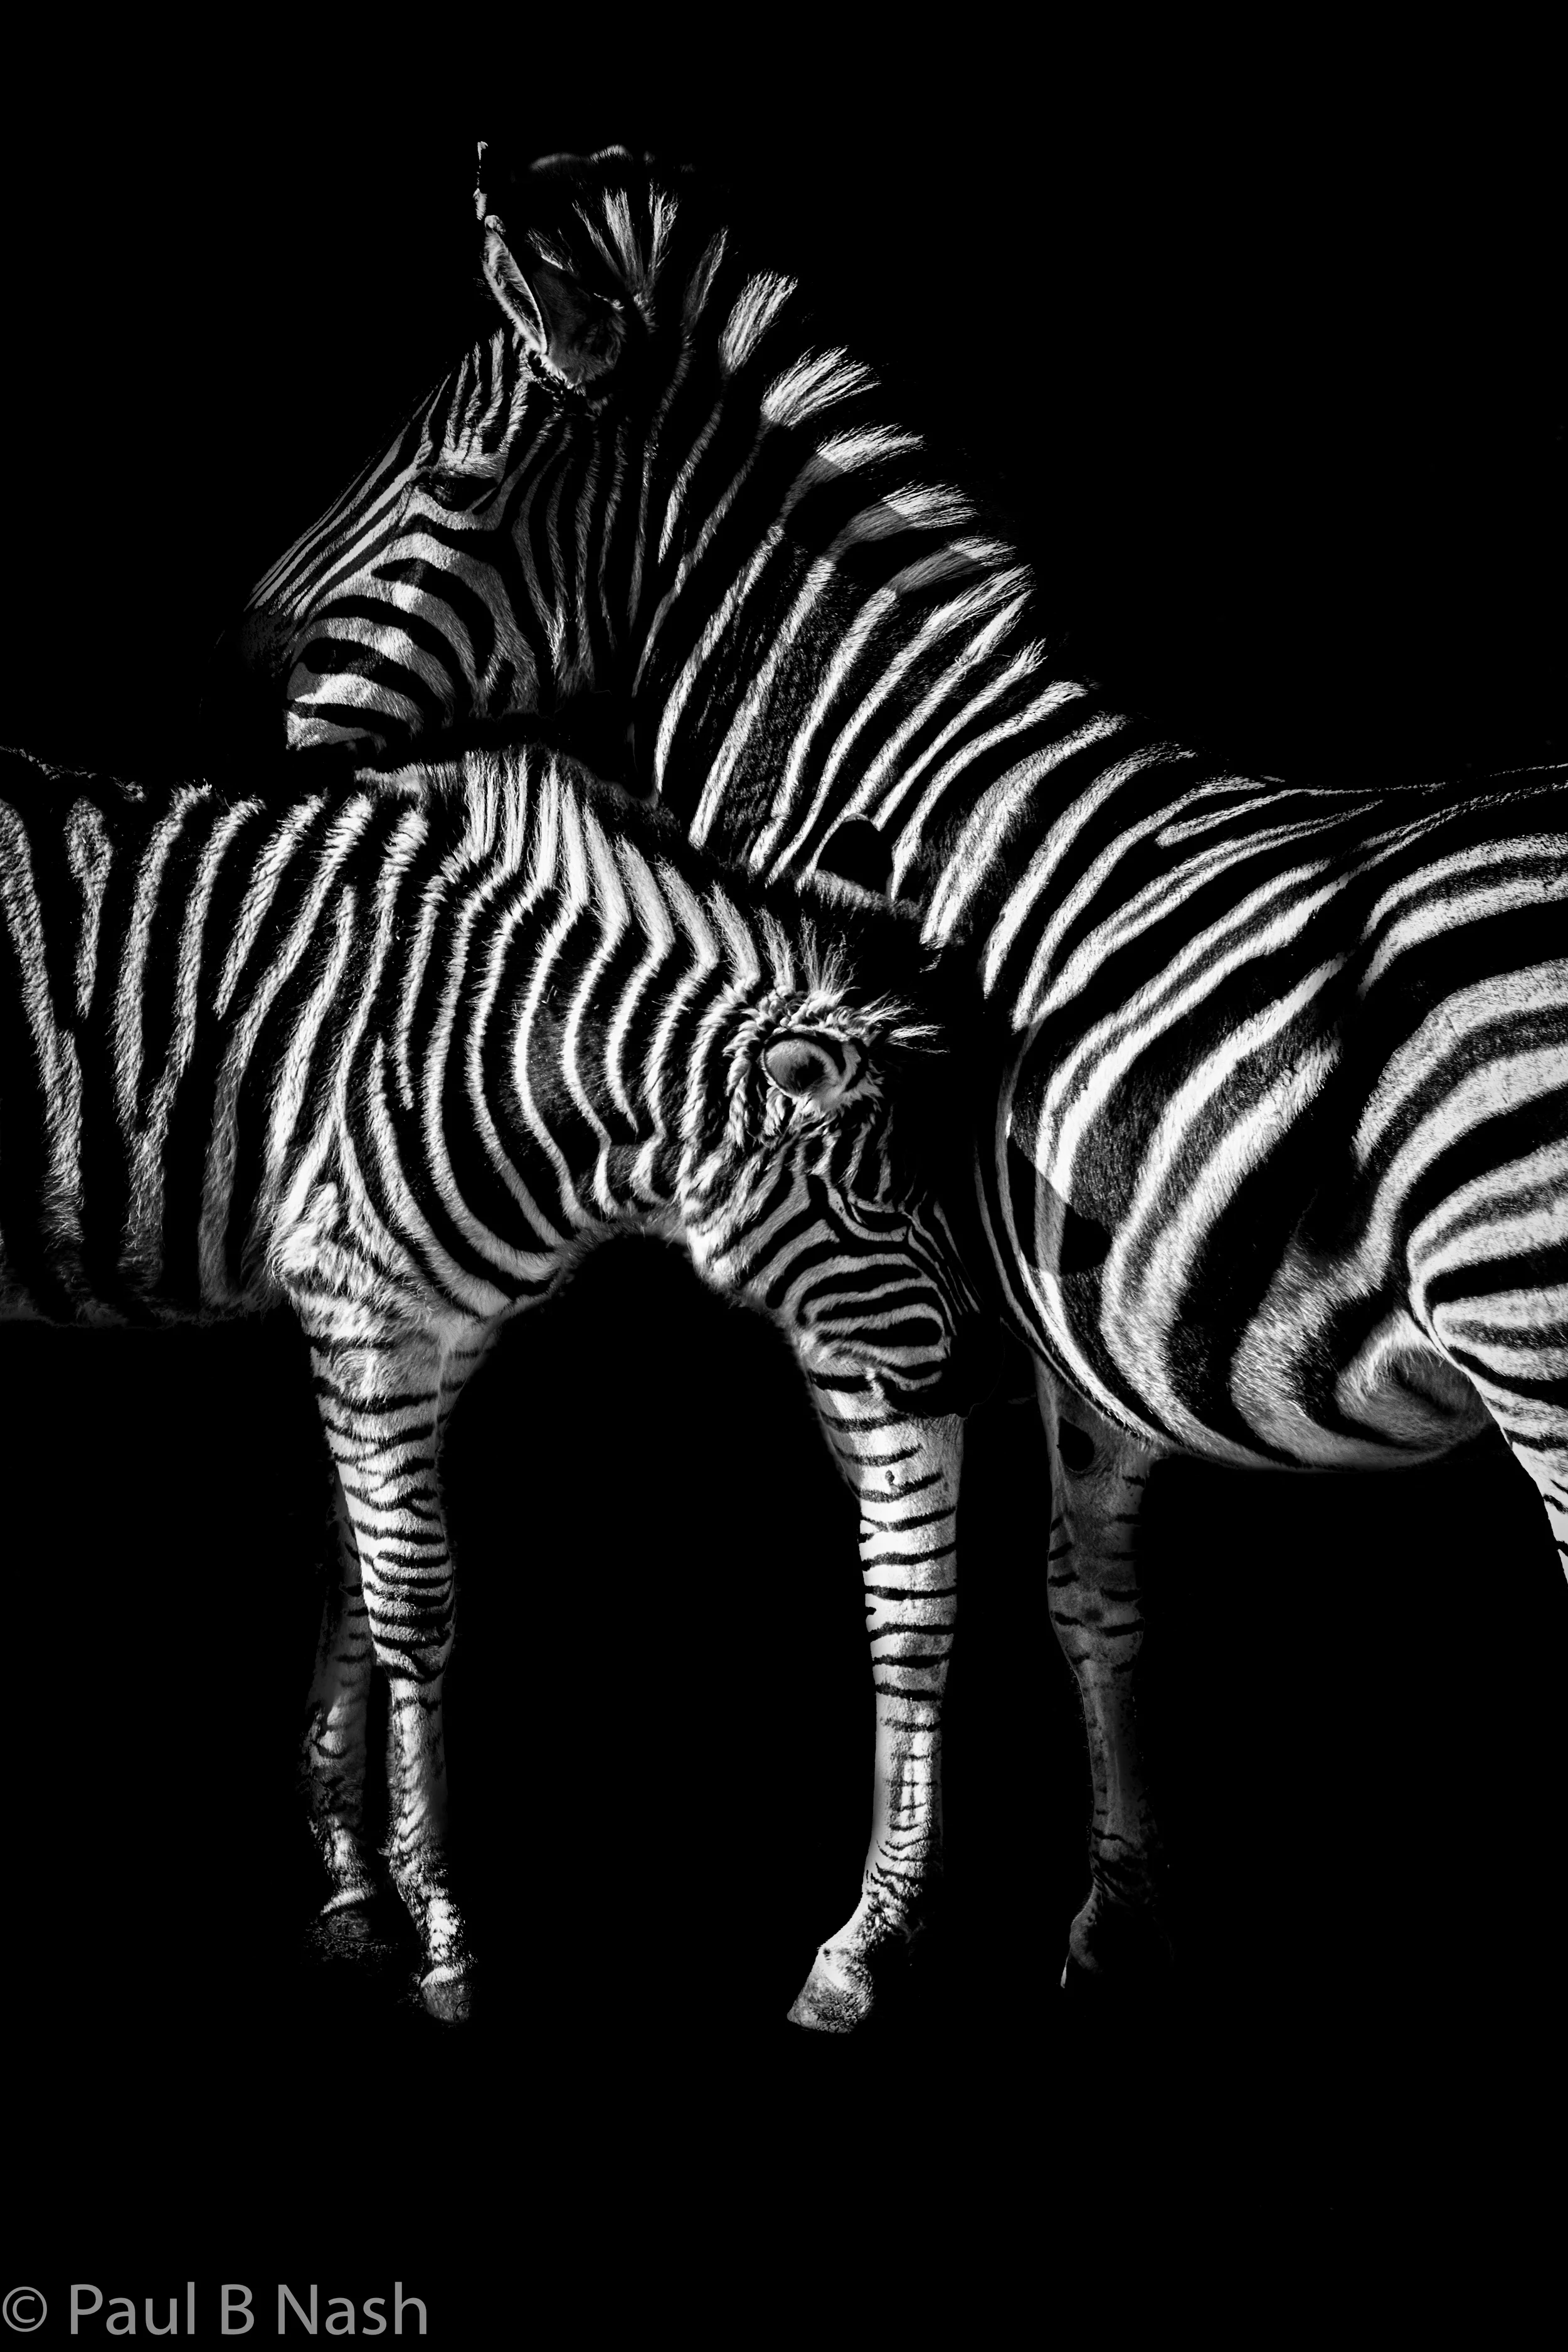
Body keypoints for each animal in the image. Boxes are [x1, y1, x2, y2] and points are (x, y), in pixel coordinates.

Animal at [0, 737, 989, 2026]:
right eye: (875, 1211)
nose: (970, 1368)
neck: (503, 1054)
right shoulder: (363, 1305)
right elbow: (416, 1602)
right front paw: (444, 1931)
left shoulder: (430, 1333)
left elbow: (353, 1568)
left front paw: (354, 1884)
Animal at [216, 141, 1568, 2007]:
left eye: (457, 476)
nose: (252, 673)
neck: (888, 816)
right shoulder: (1073, 1344)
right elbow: (1084, 1597)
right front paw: (1116, 1914)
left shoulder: (876, 1295)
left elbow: (907, 1603)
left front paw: (859, 1942)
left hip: (1532, 1318)